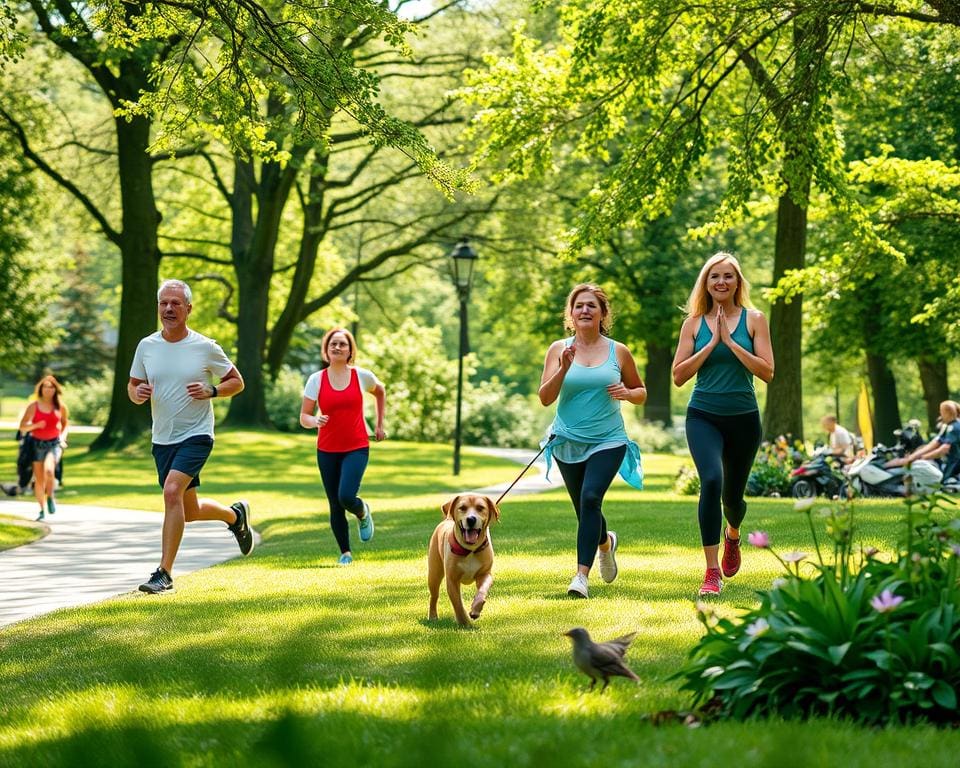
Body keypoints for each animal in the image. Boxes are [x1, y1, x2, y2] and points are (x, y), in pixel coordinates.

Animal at [430, 496, 502, 628]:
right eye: (462, 508)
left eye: (480, 508)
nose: (471, 519)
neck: (470, 550)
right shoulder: (452, 579)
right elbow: (458, 603)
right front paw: (465, 623)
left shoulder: (485, 573)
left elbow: (482, 589)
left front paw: (475, 610)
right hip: (434, 572)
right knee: (434, 595)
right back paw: (432, 616)